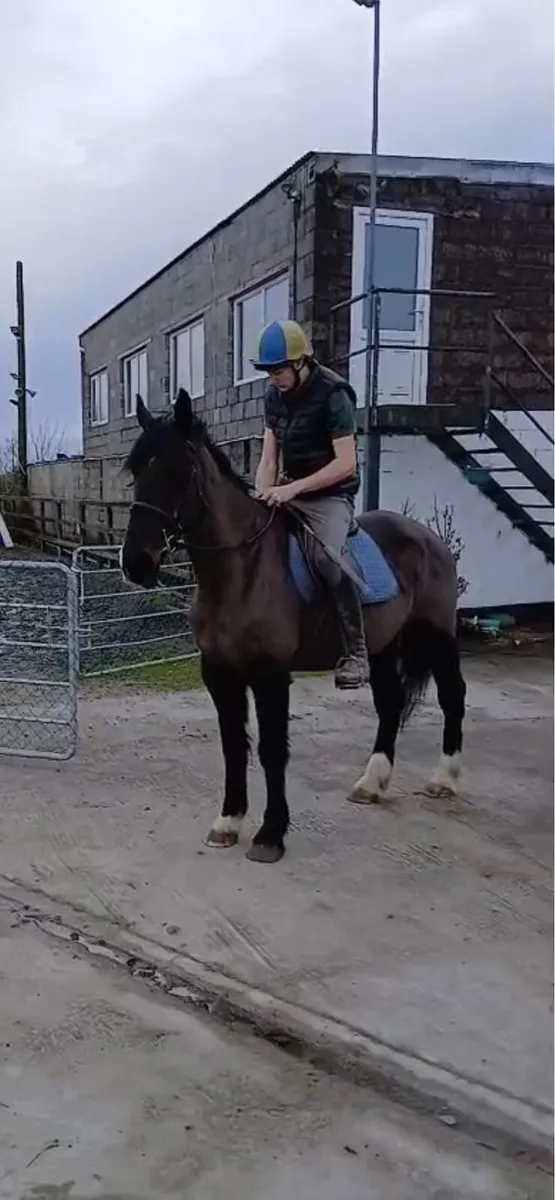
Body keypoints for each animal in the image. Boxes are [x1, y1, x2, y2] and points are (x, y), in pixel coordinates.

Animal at [121, 388, 466, 864]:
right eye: (136, 469)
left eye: (181, 470)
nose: (136, 563)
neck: (241, 569)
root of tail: (428, 536)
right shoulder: (219, 673)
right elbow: (233, 745)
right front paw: (228, 821)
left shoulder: (270, 675)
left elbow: (271, 750)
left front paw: (270, 834)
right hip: (380, 646)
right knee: (391, 704)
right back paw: (371, 783)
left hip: (437, 636)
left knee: (452, 696)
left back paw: (444, 778)